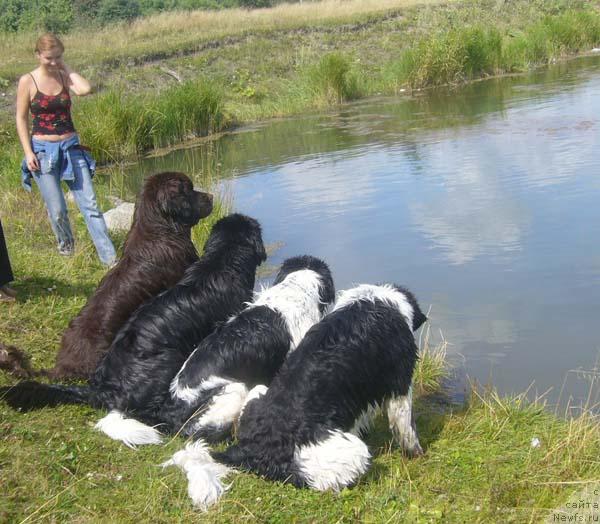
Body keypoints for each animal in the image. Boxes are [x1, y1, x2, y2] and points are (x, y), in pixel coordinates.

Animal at [163, 284, 426, 510]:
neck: (376, 301)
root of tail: (246, 449)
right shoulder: (401, 387)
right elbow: (407, 429)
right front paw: (417, 455)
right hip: (351, 454)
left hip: (254, 391)